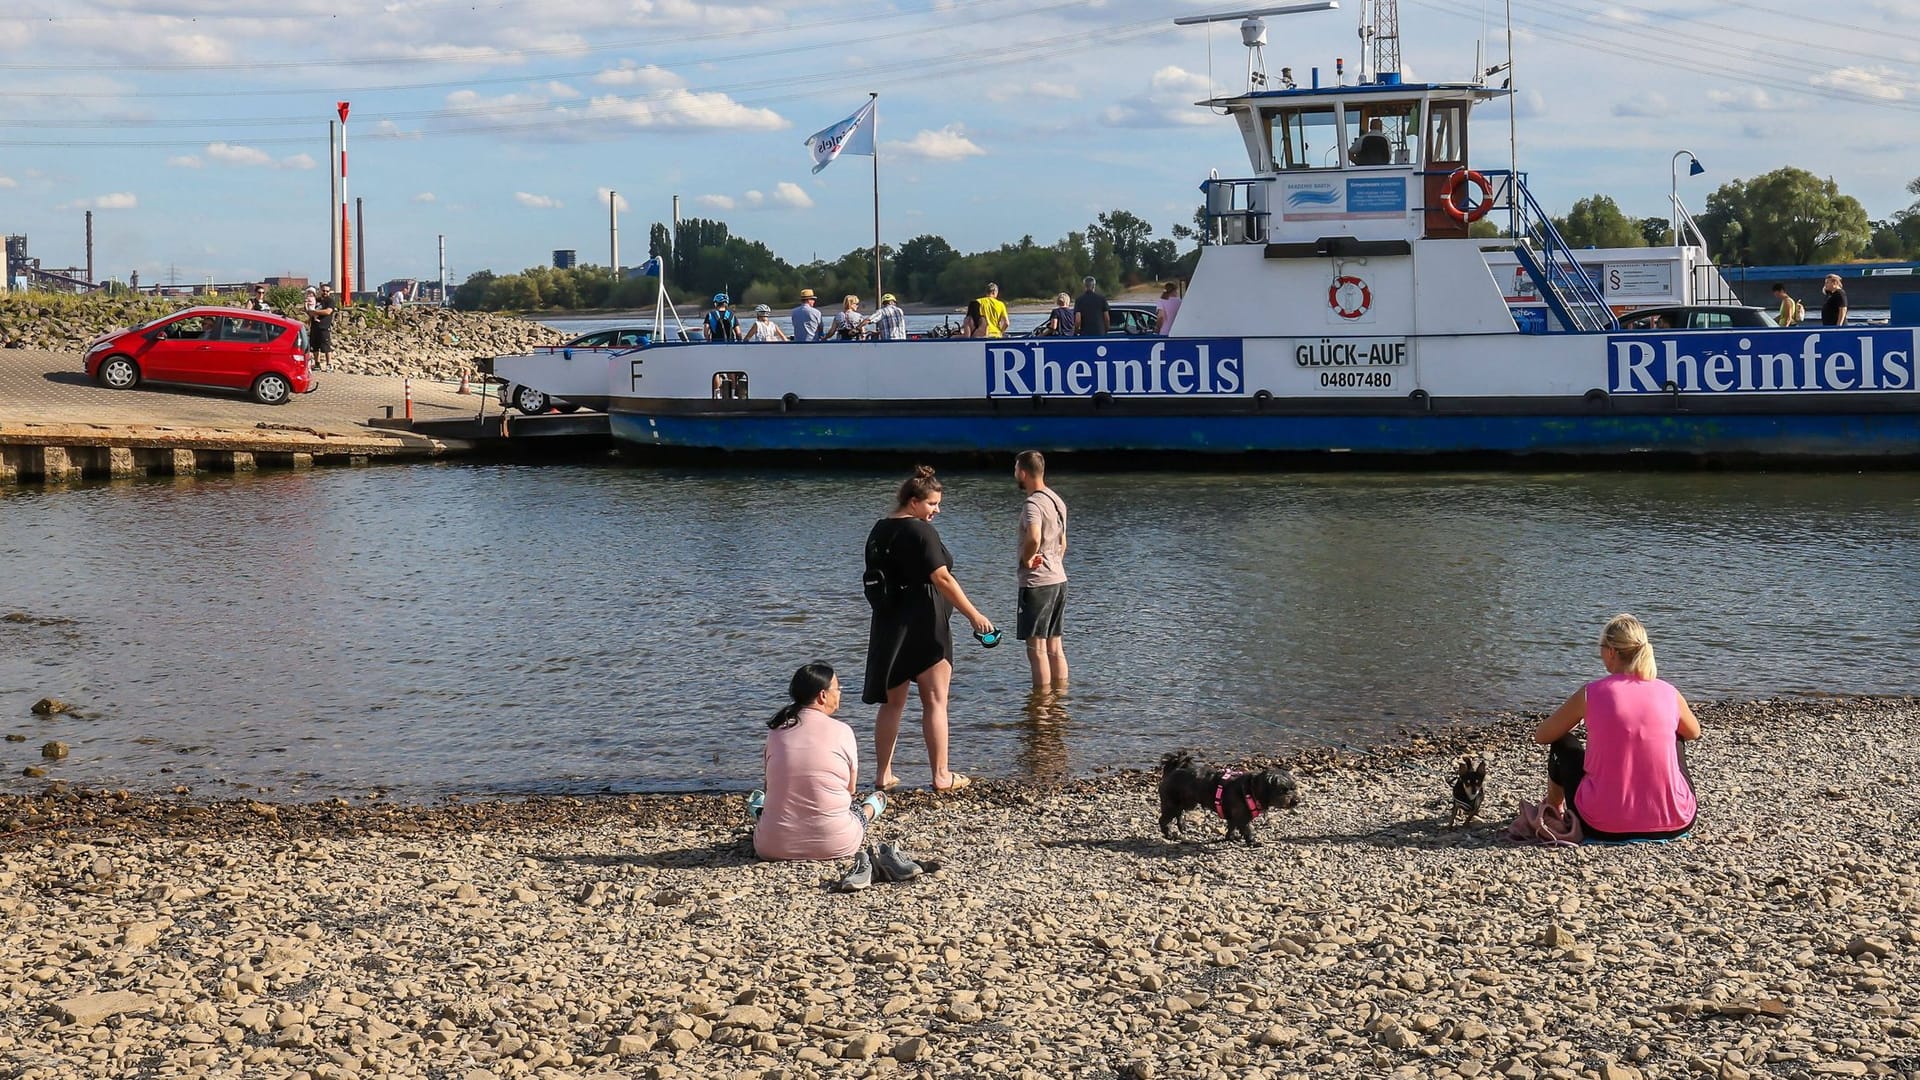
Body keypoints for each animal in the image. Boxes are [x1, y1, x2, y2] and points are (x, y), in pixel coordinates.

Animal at [1152, 749, 1305, 841]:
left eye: (1294, 788)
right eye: (1283, 790)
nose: (1296, 801)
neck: (1251, 789)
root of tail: (1173, 770)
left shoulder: (1234, 816)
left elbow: (1231, 827)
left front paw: (1230, 837)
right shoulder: (1242, 817)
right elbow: (1247, 829)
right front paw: (1253, 842)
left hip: (1187, 802)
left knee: (1179, 813)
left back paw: (1182, 826)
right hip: (1171, 804)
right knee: (1163, 820)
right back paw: (1169, 834)